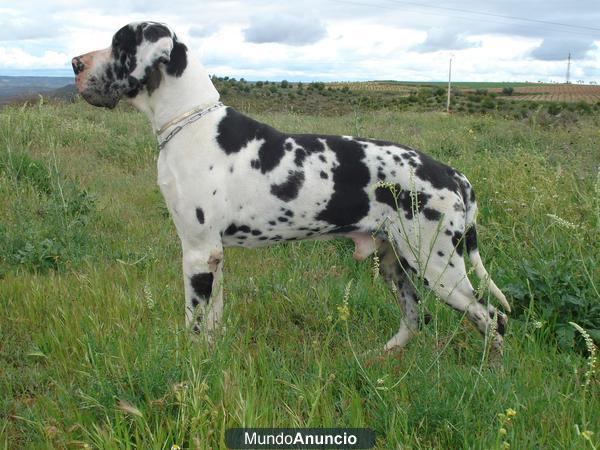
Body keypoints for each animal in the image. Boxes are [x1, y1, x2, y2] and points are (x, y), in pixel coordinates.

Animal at [72, 22, 508, 354]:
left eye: (118, 43)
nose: (74, 62)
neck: (190, 121)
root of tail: (453, 174)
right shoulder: (213, 256)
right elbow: (213, 323)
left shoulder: (196, 253)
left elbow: (194, 325)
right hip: (394, 262)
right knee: (416, 316)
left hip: (437, 265)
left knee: (492, 317)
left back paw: (492, 373)